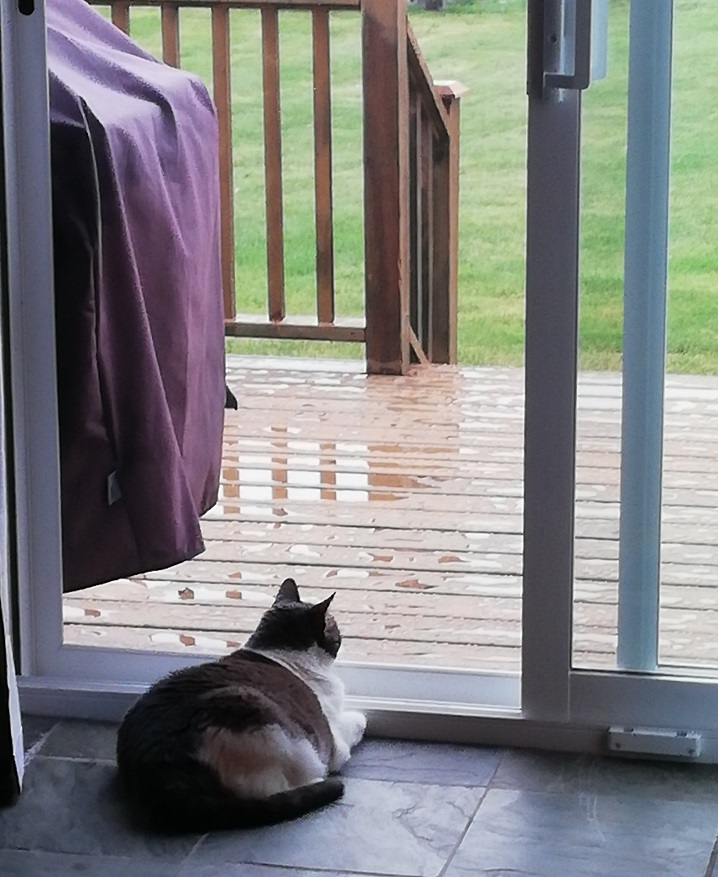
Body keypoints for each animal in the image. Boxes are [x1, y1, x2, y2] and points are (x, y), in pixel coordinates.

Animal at [117, 580, 368, 832]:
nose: (341, 635)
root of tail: (161, 769)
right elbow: (357, 722)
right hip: (272, 728)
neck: (280, 649)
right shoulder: (335, 740)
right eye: (334, 627)